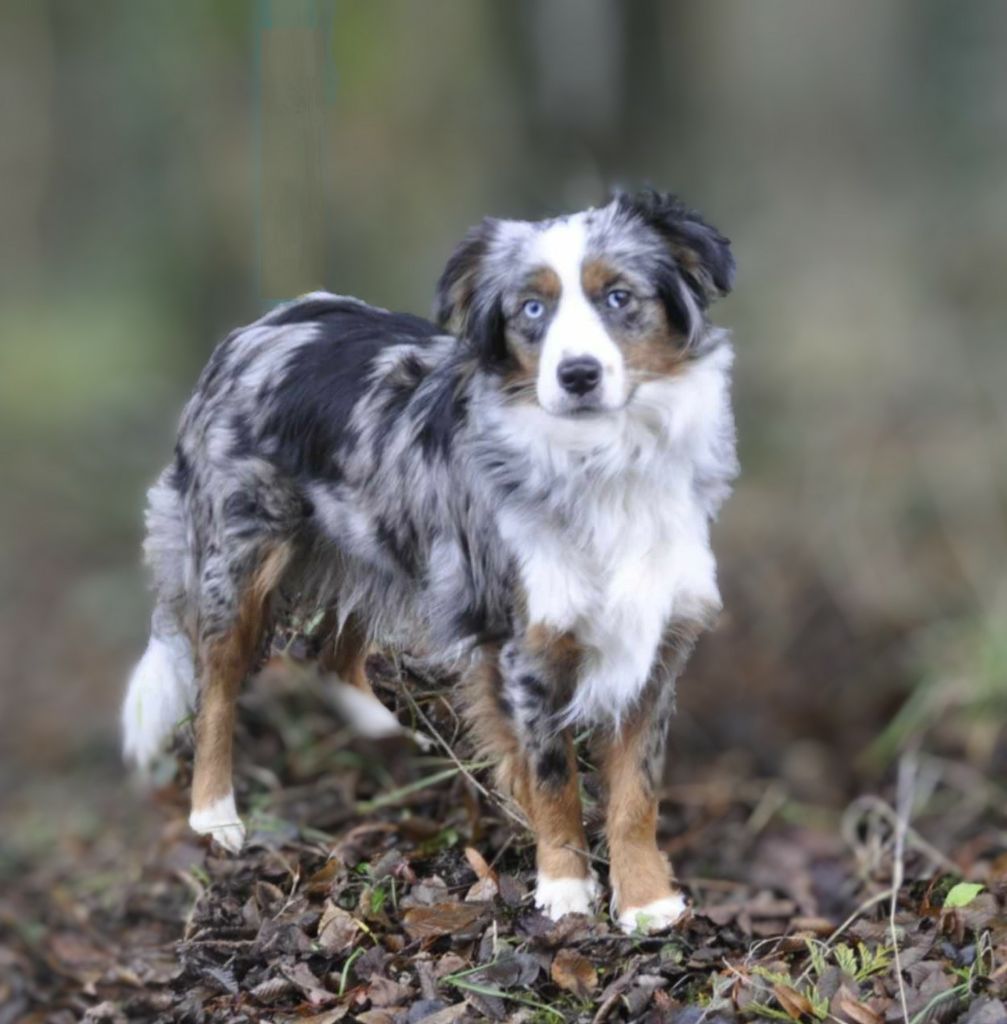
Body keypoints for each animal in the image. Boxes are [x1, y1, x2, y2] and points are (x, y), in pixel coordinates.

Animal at [121, 188, 737, 933]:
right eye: (531, 310)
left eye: (618, 296)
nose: (577, 375)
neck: (602, 461)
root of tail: (258, 327)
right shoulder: (525, 643)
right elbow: (553, 776)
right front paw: (564, 888)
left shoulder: (654, 636)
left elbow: (637, 791)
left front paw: (646, 899)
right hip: (238, 564)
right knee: (215, 689)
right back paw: (215, 816)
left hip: (376, 542)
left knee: (334, 651)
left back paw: (396, 732)